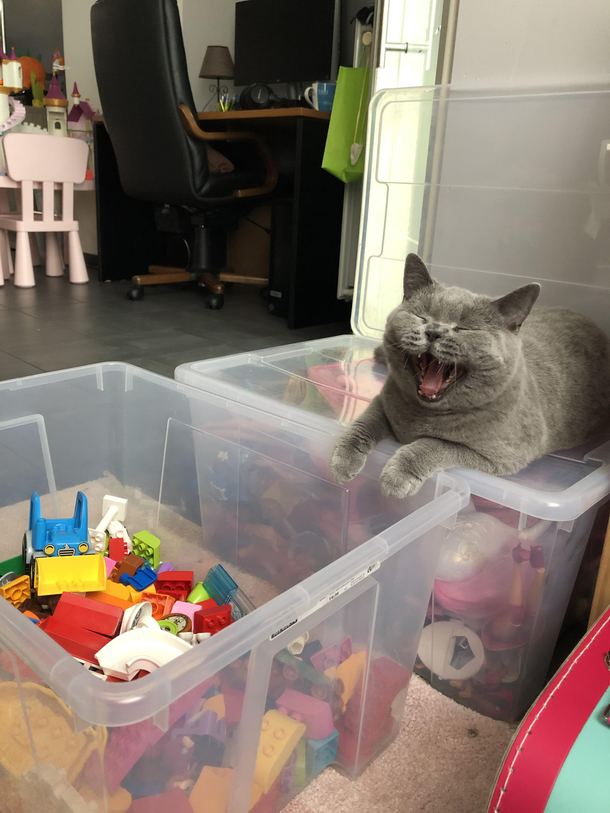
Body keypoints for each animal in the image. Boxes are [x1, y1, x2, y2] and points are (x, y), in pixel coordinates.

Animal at [330, 254, 608, 498]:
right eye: (422, 317)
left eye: (463, 328)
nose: (434, 331)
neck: (422, 416)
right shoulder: (385, 401)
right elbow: (364, 422)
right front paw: (342, 462)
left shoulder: (496, 456)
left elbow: (434, 444)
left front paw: (397, 476)